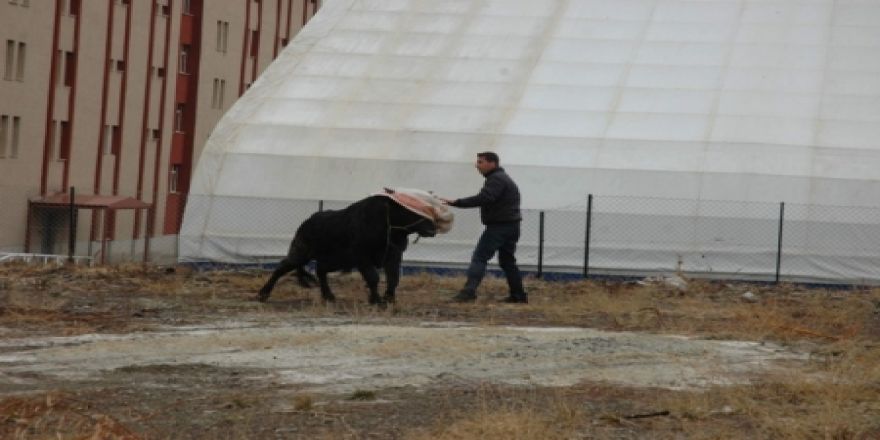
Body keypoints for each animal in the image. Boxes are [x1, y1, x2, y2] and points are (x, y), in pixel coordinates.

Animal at [258, 194, 436, 304]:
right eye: (410, 210)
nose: (433, 228)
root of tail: (306, 222)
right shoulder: (362, 257)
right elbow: (373, 278)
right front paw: (377, 301)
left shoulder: (394, 256)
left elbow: (393, 278)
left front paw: (389, 299)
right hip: (301, 252)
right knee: (282, 267)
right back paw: (263, 294)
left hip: (336, 260)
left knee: (320, 270)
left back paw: (329, 296)